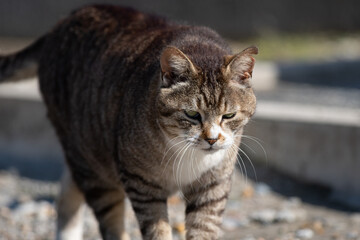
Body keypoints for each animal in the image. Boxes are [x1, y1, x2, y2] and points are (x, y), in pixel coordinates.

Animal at [0, 3, 258, 240]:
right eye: (192, 114)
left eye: (229, 116)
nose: (212, 139)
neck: (187, 154)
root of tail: (62, 22)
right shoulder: (141, 183)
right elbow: (157, 230)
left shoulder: (213, 186)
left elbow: (204, 228)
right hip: (94, 168)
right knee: (107, 215)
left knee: (66, 194)